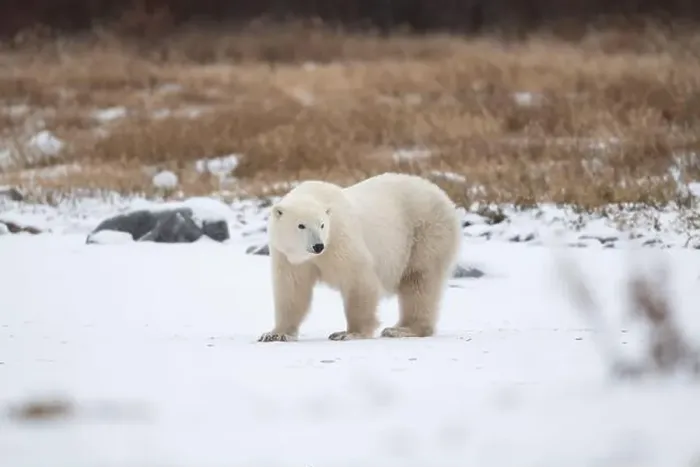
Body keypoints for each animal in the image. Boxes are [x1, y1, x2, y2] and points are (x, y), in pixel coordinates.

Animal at [258, 172, 463, 342]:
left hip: (425, 232)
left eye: (322, 225)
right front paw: (275, 334)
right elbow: (292, 290)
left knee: (419, 280)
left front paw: (348, 333)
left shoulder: (339, 239)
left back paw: (402, 330)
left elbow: (358, 279)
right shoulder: (288, 257)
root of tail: (443, 197)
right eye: (301, 225)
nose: (318, 246)